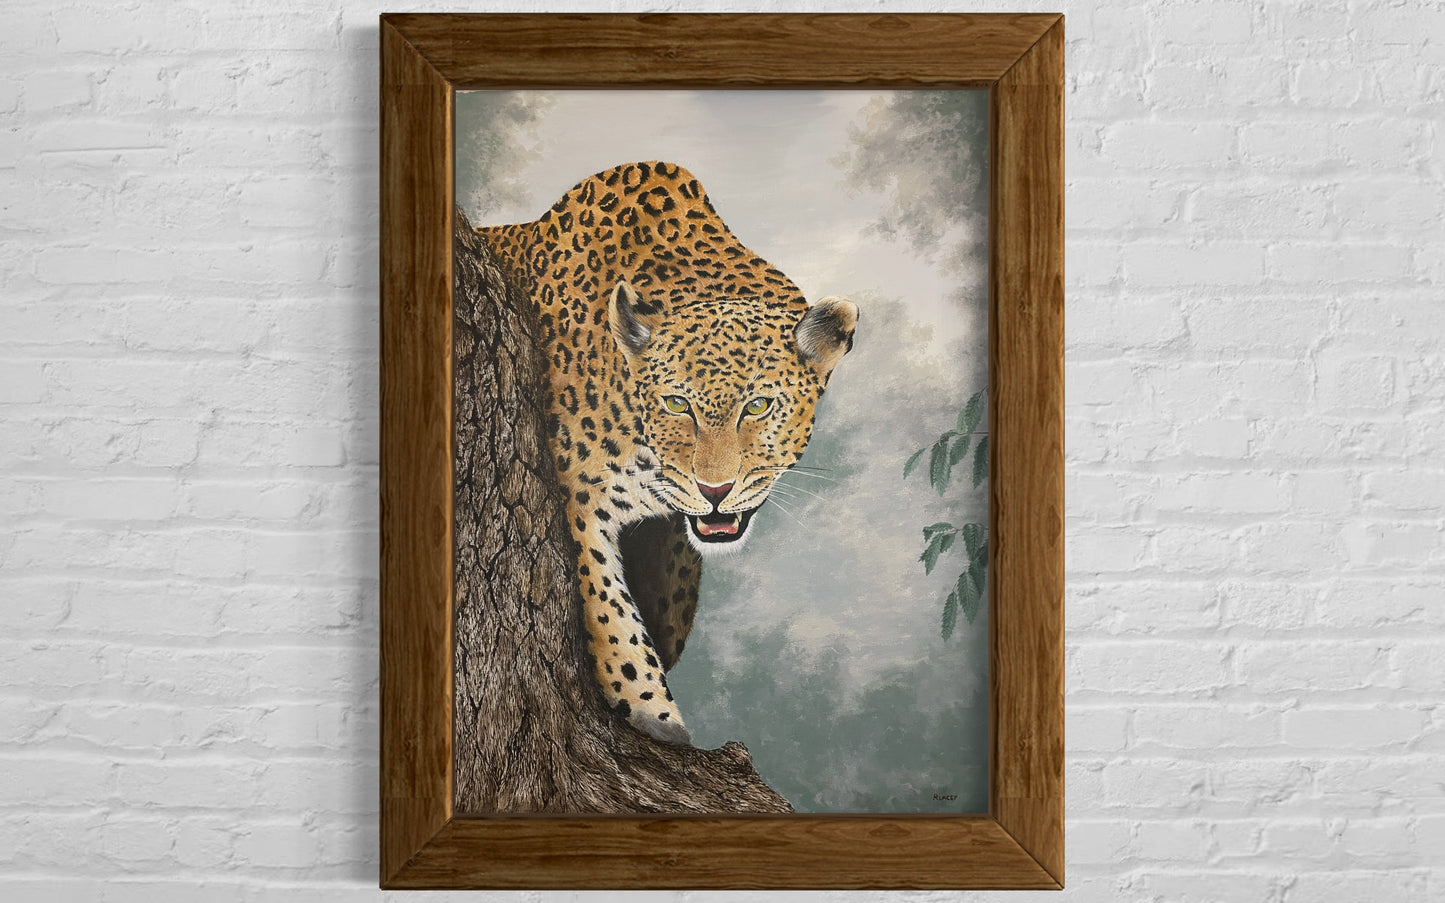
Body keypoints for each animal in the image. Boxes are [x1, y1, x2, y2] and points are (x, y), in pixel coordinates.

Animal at [476, 161, 858, 746]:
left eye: (759, 405)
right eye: (676, 403)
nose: (715, 491)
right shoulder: (578, 501)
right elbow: (611, 615)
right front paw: (653, 715)